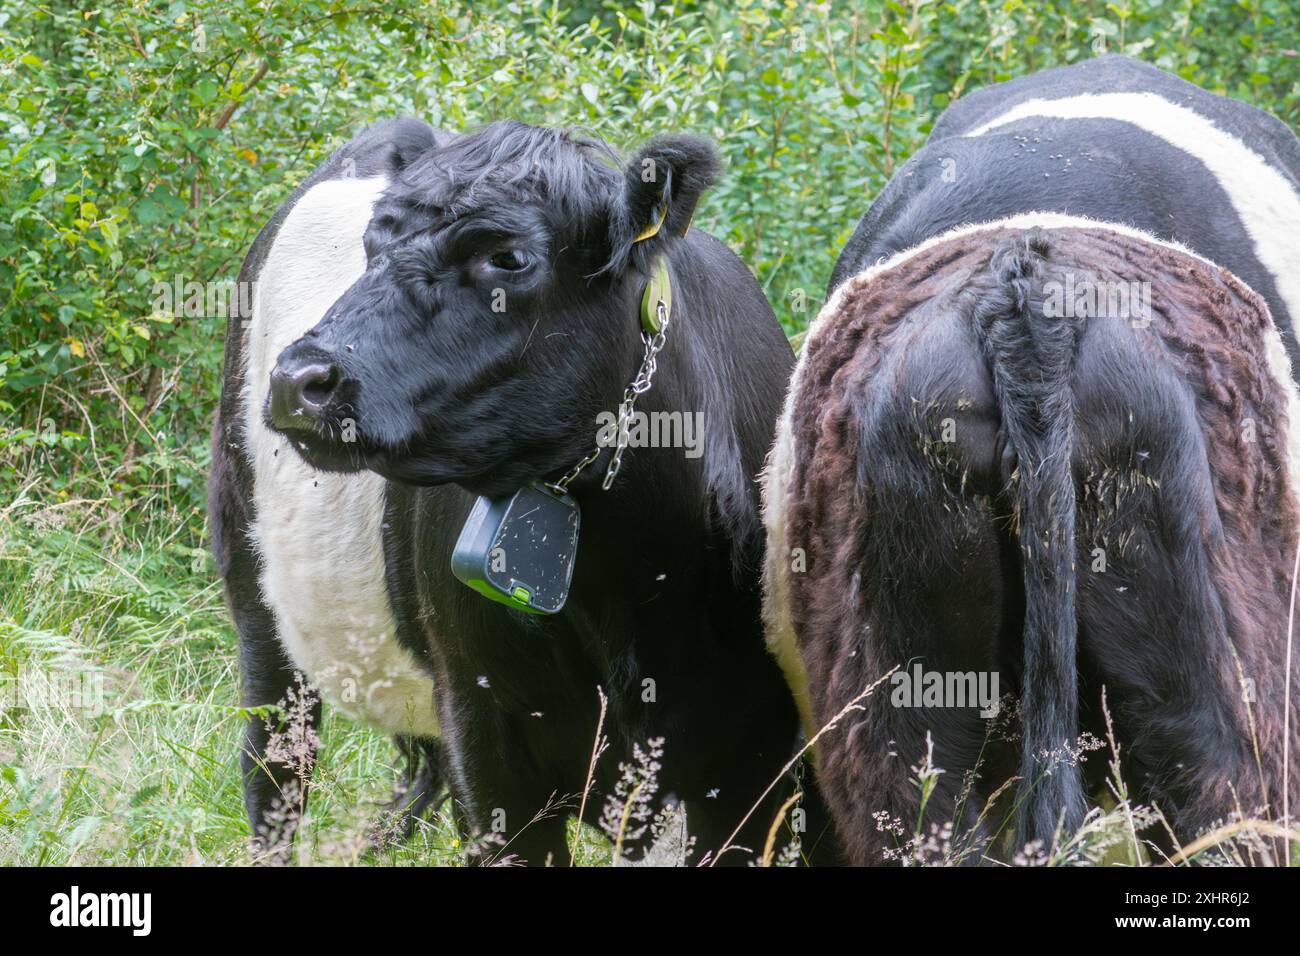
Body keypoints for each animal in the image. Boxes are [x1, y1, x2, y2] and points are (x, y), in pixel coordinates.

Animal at [211, 116, 833, 864]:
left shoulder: (752, 757)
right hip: (253, 589)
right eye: (372, 247)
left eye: (508, 258)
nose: (300, 379)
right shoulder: (487, 736)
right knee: (274, 766)